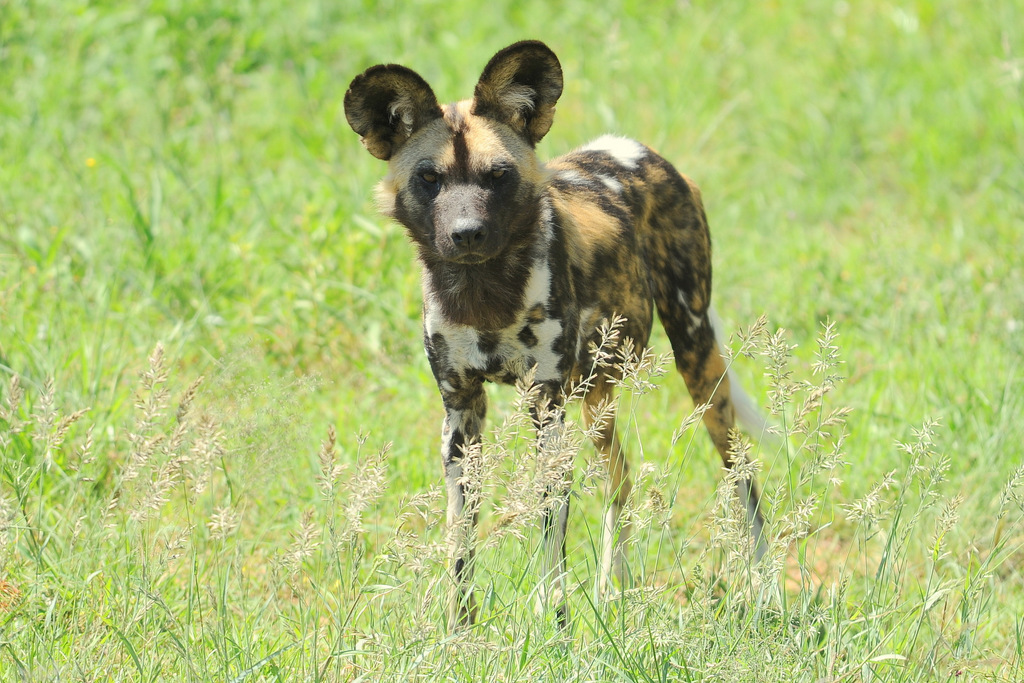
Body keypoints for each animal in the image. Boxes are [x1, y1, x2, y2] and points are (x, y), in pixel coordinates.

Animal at [348, 41, 765, 630]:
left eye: (498, 175)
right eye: (429, 179)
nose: (466, 234)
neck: (485, 295)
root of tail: (638, 150)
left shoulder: (545, 410)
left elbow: (550, 527)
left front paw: (553, 620)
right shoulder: (461, 418)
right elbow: (459, 541)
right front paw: (459, 629)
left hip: (696, 362)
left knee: (740, 474)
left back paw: (763, 586)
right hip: (596, 397)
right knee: (621, 479)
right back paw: (615, 591)